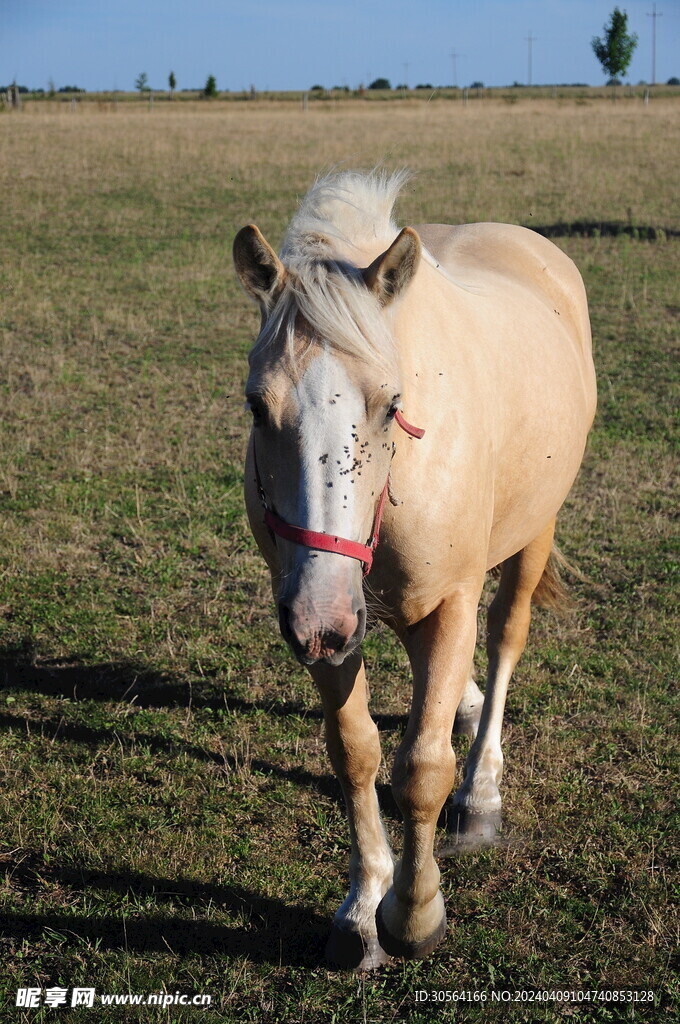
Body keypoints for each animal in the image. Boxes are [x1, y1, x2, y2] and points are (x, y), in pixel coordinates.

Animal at [233, 169, 593, 966]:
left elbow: (424, 769)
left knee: (507, 635)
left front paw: (414, 913)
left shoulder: (445, 599)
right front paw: (363, 904)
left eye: (392, 403)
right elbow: (356, 752)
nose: (319, 620)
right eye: (256, 406)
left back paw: (483, 790)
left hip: (534, 531)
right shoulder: (327, 608)